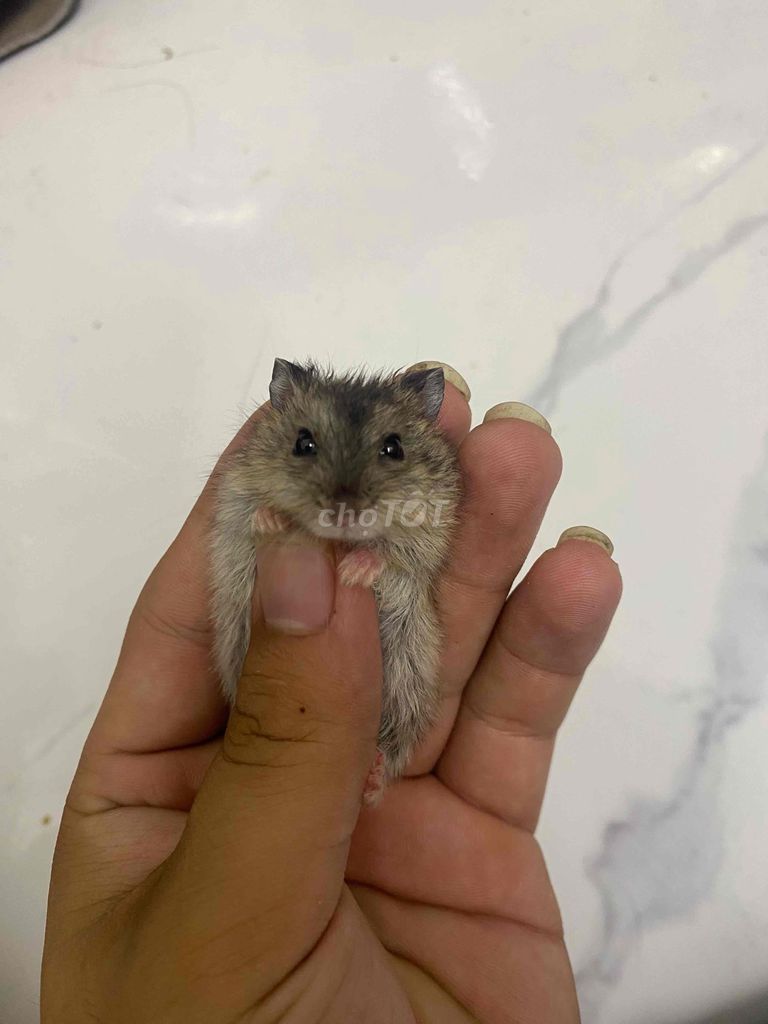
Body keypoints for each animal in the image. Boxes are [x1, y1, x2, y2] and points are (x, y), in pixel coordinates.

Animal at [210, 358, 461, 801]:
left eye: (394, 448)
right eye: (303, 443)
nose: (344, 514)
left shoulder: (430, 534)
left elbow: (391, 553)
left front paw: (351, 571)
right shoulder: (235, 496)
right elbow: (253, 514)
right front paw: (274, 520)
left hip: (407, 690)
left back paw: (371, 777)